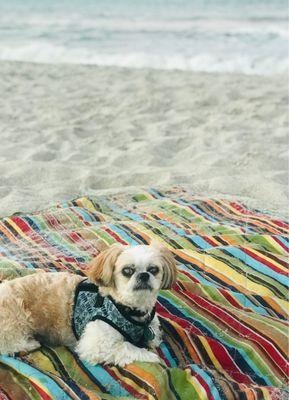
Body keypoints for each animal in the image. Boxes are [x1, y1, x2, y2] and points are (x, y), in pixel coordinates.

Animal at [0, 242, 176, 368]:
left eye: (153, 269)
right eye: (127, 271)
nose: (144, 275)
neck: (131, 310)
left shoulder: (152, 325)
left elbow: (155, 337)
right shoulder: (95, 344)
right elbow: (127, 346)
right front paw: (151, 356)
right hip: (16, 318)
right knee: (8, 344)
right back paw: (30, 344)